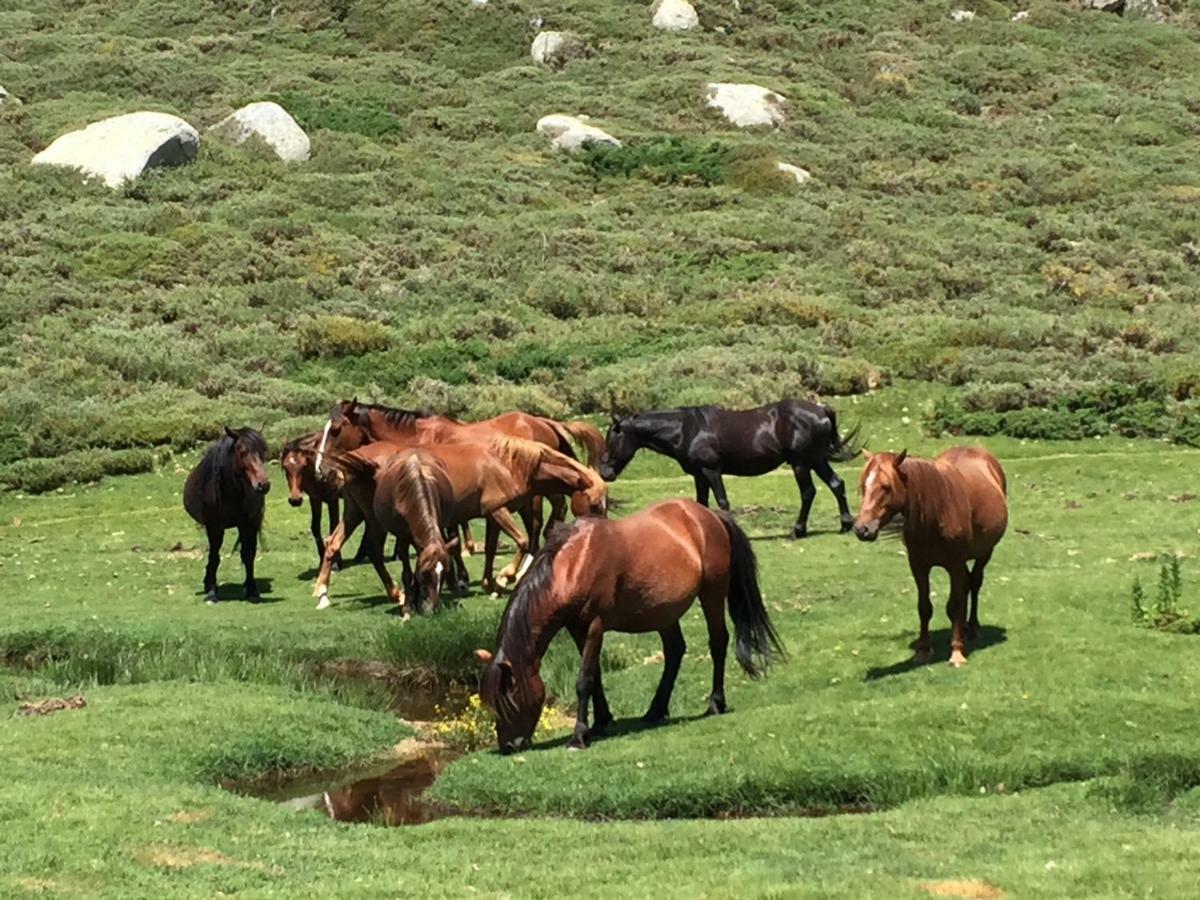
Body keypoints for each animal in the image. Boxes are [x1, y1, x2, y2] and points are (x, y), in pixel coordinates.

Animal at [182, 424, 270, 607]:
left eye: (263, 450)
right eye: (242, 451)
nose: (263, 484)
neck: (231, 492)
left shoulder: (248, 524)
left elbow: (248, 555)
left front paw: (252, 590)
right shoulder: (214, 527)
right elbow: (214, 557)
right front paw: (211, 592)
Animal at [472, 501, 782, 753]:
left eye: (508, 701)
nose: (509, 746)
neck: (573, 563)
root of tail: (710, 516)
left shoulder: (595, 625)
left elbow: (584, 680)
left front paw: (578, 736)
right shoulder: (576, 628)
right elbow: (595, 675)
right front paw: (600, 722)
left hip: (712, 594)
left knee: (718, 643)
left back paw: (715, 703)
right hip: (664, 613)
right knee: (675, 651)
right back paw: (656, 710)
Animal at [600, 400, 864, 540]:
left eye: (613, 439)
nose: (604, 472)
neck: (688, 429)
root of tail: (822, 410)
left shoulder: (711, 470)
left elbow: (722, 502)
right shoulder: (699, 475)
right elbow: (702, 503)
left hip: (801, 464)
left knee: (808, 492)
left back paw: (797, 530)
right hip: (816, 461)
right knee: (836, 484)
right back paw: (845, 525)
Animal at [849, 448, 1008, 672]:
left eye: (886, 486)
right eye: (863, 485)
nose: (862, 529)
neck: (937, 512)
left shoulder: (954, 565)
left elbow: (954, 605)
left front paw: (956, 652)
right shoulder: (918, 566)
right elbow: (924, 607)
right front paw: (923, 650)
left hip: (984, 553)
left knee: (975, 584)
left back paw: (973, 628)